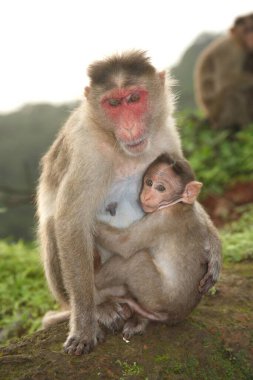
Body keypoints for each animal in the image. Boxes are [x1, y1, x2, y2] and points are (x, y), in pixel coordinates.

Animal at [37, 49, 182, 354]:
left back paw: (138, 314)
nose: (128, 125)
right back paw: (102, 306)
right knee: (55, 224)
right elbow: (71, 223)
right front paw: (86, 324)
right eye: (113, 104)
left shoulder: (168, 138)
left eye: (134, 99)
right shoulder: (86, 151)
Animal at [95, 154, 221, 338]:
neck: (179, 203)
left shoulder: (162, 219)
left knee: (135, 260)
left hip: (156, 296)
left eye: (161, 188)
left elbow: (124, 245)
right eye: (149, 182)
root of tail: (174, 316)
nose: (147, 195)